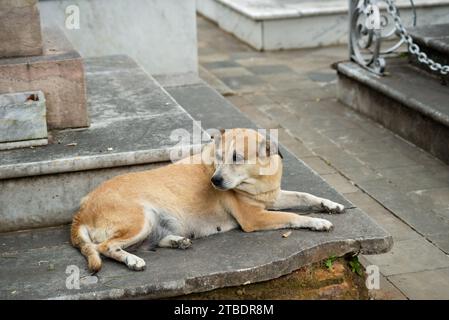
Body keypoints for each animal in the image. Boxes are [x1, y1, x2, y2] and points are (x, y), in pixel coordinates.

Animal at [71, 129, 344, 272]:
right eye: (220, 157)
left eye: (236, 158)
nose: (215, 180)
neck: (258, 180)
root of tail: (81, 210)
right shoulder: (255, 217)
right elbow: (293, 216)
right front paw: (317, 222)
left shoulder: (272, 198)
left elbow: (305, 196)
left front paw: (330, 205)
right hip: (141, 219)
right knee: (105, 247)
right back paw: (132, 260)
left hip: (151, 224)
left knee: (145, 242)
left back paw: (177, 241)